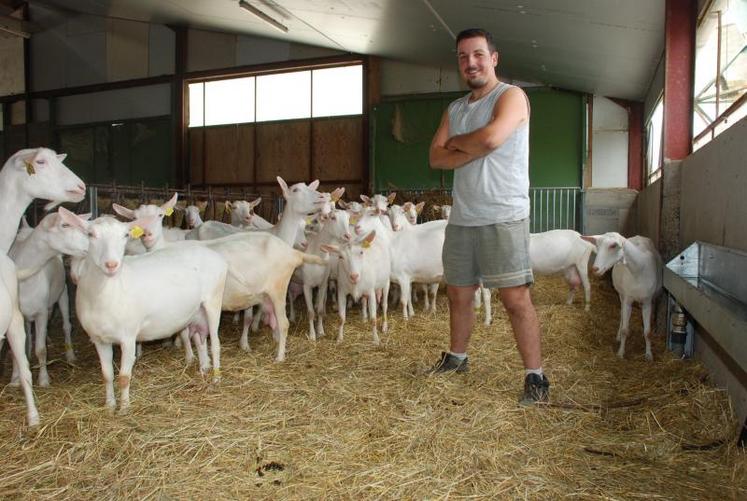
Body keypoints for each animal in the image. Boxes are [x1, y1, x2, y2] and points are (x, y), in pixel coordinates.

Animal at [59, 207, 228, 410]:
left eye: (125, 235)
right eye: (90, 234)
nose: (111, 264)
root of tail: (215, 256)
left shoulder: (128, 336)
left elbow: (124, 377)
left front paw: (124, 408)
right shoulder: (99, 339)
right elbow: (107, 375)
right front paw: (109, 406)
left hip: (213, 299)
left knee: (215, 343)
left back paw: (216, 379)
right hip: (195, 312)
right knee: (199, 340)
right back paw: (203, 369)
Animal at [580, 232, 664, 362]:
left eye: (613, 246)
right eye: (597, 246)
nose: (595, 269)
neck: (638, 270)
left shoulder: (647, 301)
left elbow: (648, 332)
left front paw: (649, 355)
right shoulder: (628, 299)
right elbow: (625, 329)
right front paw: (620, 353)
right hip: (621, 294)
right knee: (621, 315)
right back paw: (618, 336)